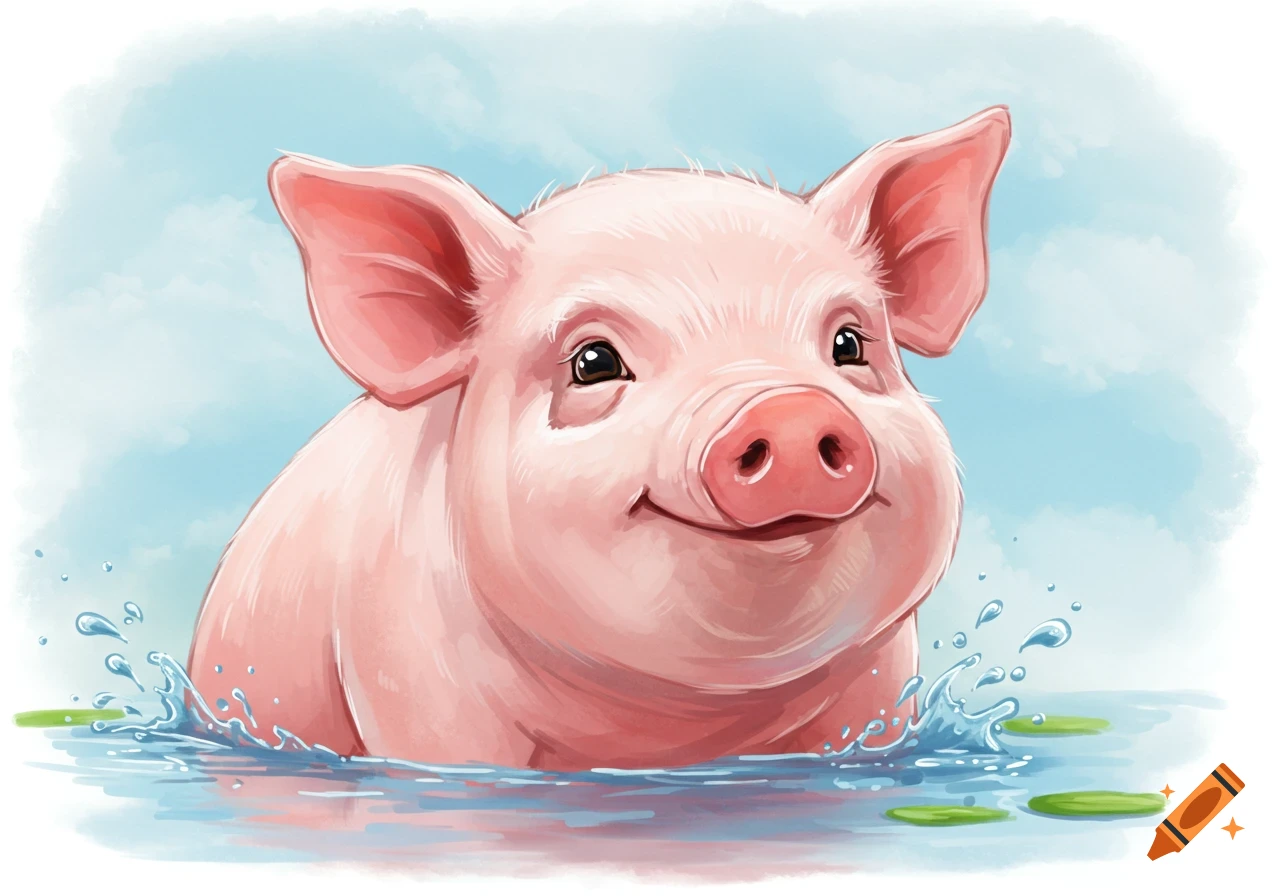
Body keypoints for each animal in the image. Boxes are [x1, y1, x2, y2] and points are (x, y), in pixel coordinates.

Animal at [188, 106, 1011, 771]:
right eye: (593, 362)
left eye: (848, 344)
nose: (788, 409)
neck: (668, 728)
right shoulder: (410, 672)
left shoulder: (879, 688)